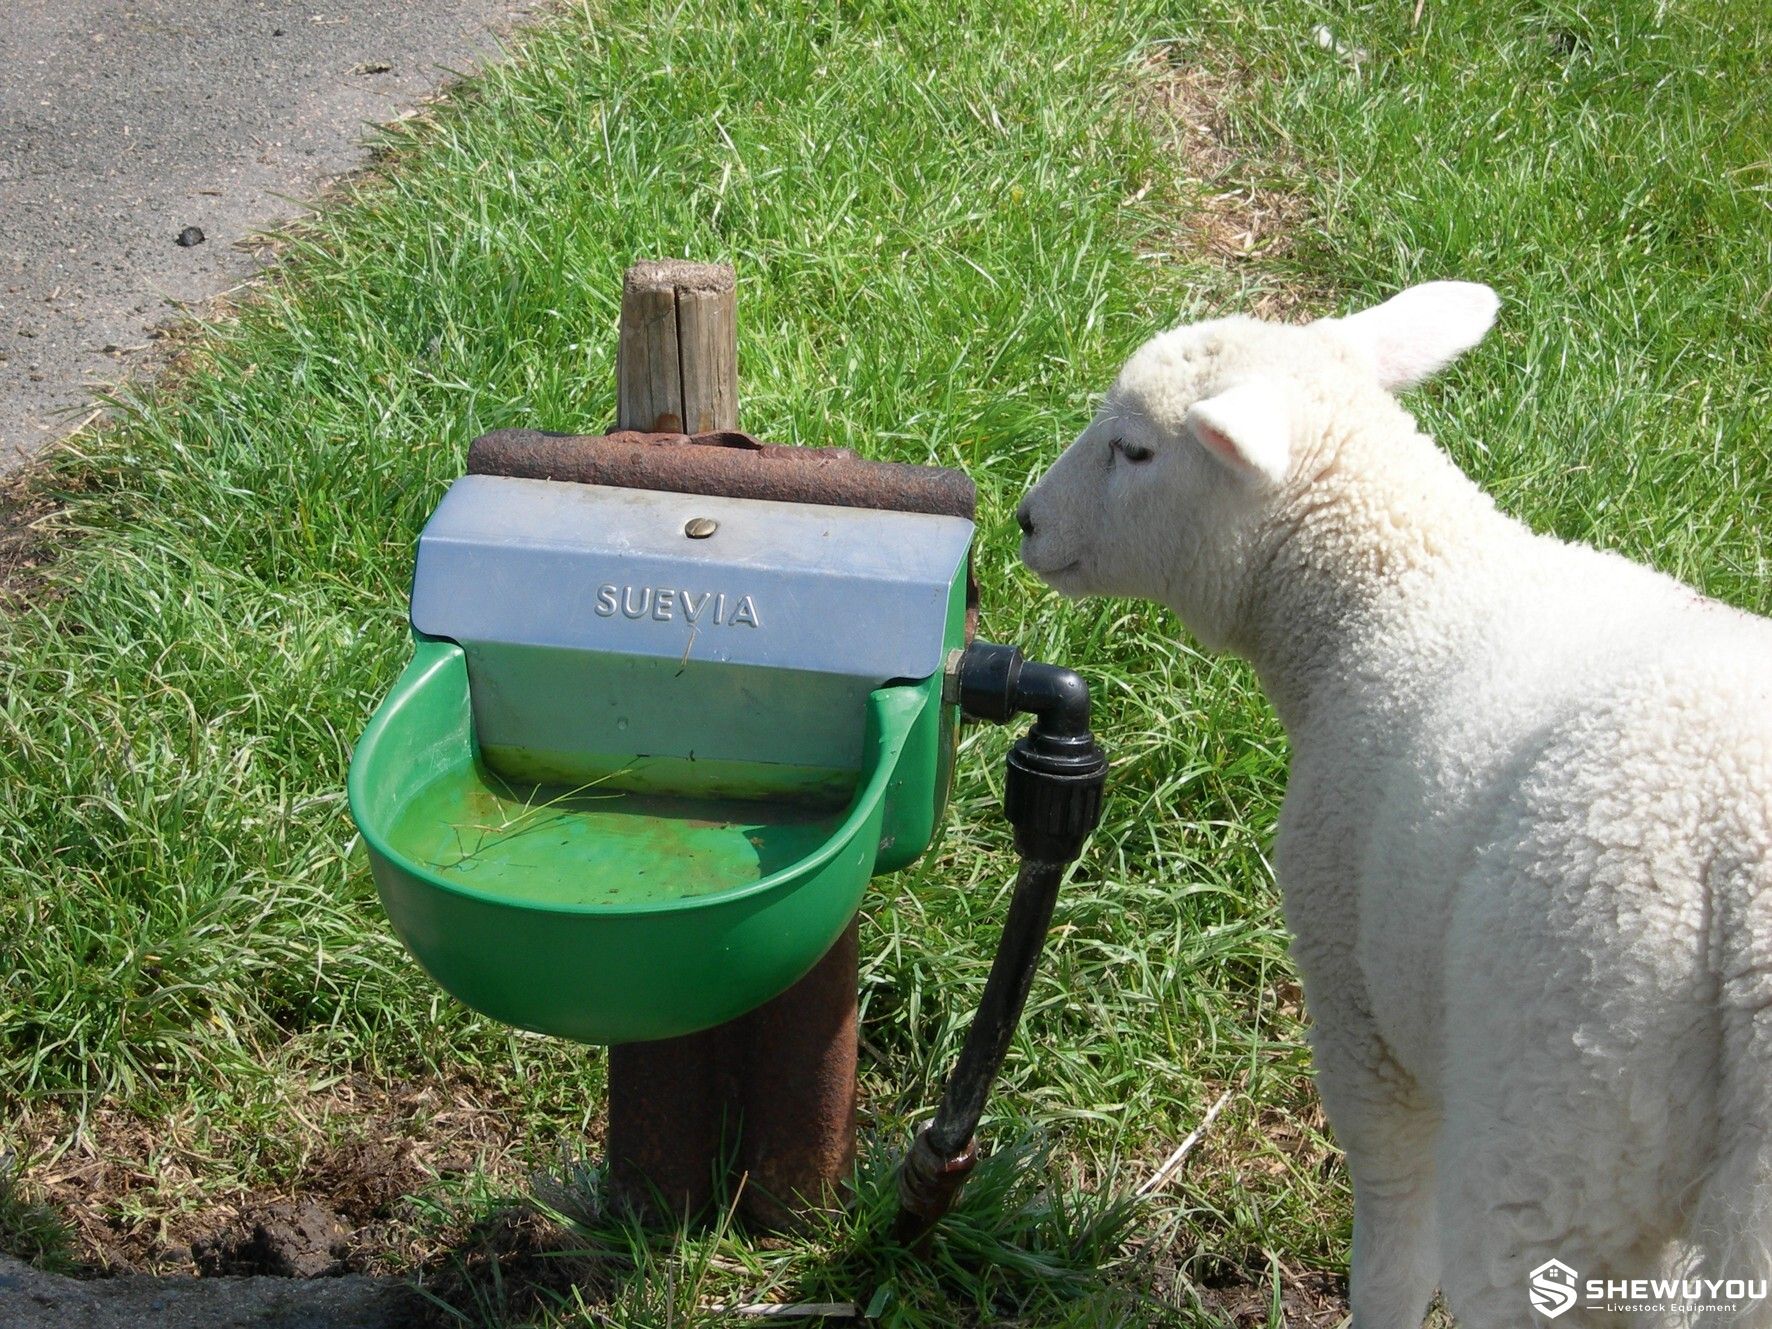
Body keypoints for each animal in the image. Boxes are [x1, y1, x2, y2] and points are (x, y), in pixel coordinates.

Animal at [1015, 281, 1772, 1328]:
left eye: (1136, 451)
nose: (1025, 519)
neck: (1389, 595)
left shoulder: (1354, 991)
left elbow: (1394, 1216)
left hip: (1558, 1101)